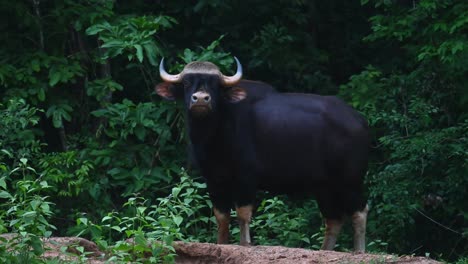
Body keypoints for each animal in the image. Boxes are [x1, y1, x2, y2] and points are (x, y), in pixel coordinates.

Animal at [156, 58, 370, 253]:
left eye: (216, 85)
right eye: (186, 83)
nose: (200, 98)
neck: (215, 134)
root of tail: (359, 120)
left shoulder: (246, 178)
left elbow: (243, 213)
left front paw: (245, 243)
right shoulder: (214, 179)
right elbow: (221, 216)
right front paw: (221, 244)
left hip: (350, 181)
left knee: (359, 211)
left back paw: (358, 251)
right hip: (324, 186)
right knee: (334, 219)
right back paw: (325, 250)